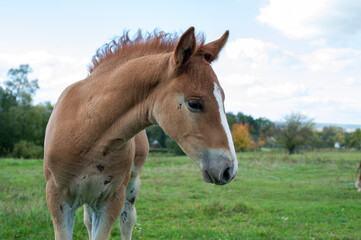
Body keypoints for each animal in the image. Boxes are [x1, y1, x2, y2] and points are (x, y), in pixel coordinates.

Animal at [43, 27, 238, 239]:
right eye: (194, 103)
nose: (229, 170)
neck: (87, 130)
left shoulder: (111, 200)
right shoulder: (58, 200)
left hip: (130, 185)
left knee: (127, 220)